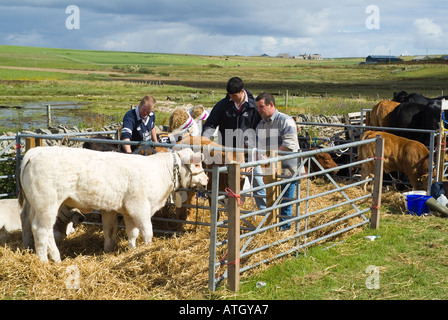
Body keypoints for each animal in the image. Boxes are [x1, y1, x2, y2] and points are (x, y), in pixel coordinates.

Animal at [19, 146, 208, 262]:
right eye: (197, 164)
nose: (206, 179)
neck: (161, 172)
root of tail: (34, 153)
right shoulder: (140, 207)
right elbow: (147, 232)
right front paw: (146, 250)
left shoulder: (127, 211)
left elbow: (130, 233)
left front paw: (131, 250)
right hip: (47, 204)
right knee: (41, 230)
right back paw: (44, 261)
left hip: (35, 205)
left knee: (29, 223)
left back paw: (40, 252)